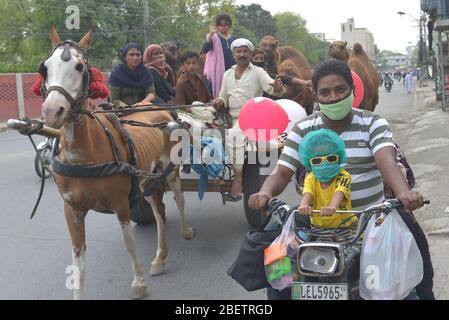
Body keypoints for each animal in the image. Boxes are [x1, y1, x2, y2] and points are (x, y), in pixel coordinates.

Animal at [41, 25, 194, 300]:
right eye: (45, 67)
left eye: (79, 67)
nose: (52, 111)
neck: (86, 154)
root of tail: (160, 108)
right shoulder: (72, 209)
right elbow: (78, 260)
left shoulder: (121, 203)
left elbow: (128, 243)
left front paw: (138, 282)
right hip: (147, 180)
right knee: (160, 213)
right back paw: (159, 258)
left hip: (171, 170)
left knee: (179, 199)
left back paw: (185, 231)